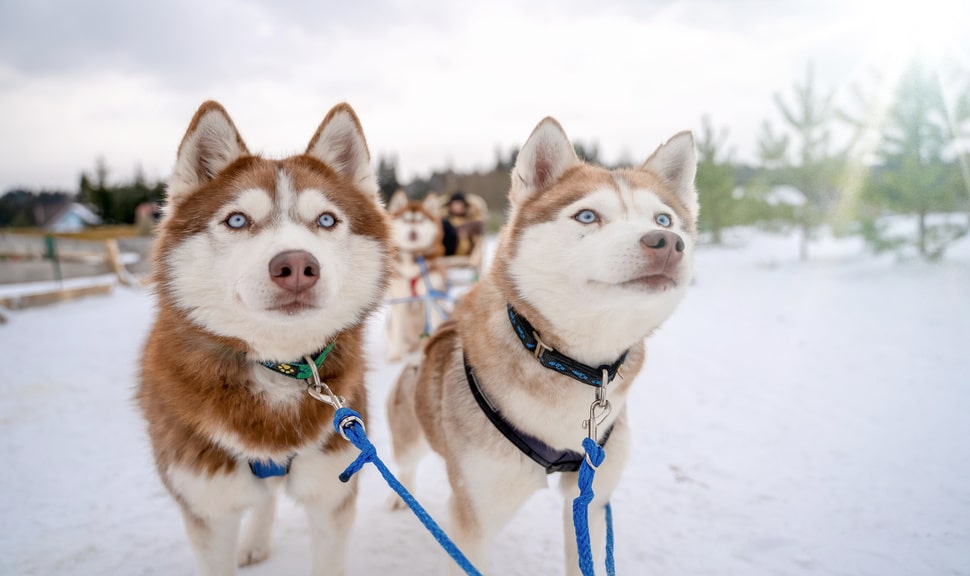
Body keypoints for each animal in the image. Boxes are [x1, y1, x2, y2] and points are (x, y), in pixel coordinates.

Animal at [135, 101, 390, 572]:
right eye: (237, 220)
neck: (276, 370)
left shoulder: (332, 494)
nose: (297, 267)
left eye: (326, 219)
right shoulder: (207, 506)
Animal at [386, 115, 696, 572]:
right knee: (402, 464)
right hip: (411, 437)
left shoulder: (591, 499)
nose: (668, 244)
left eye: (664, 220)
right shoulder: (473, 517)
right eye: (586, 215)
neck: (570, 364)